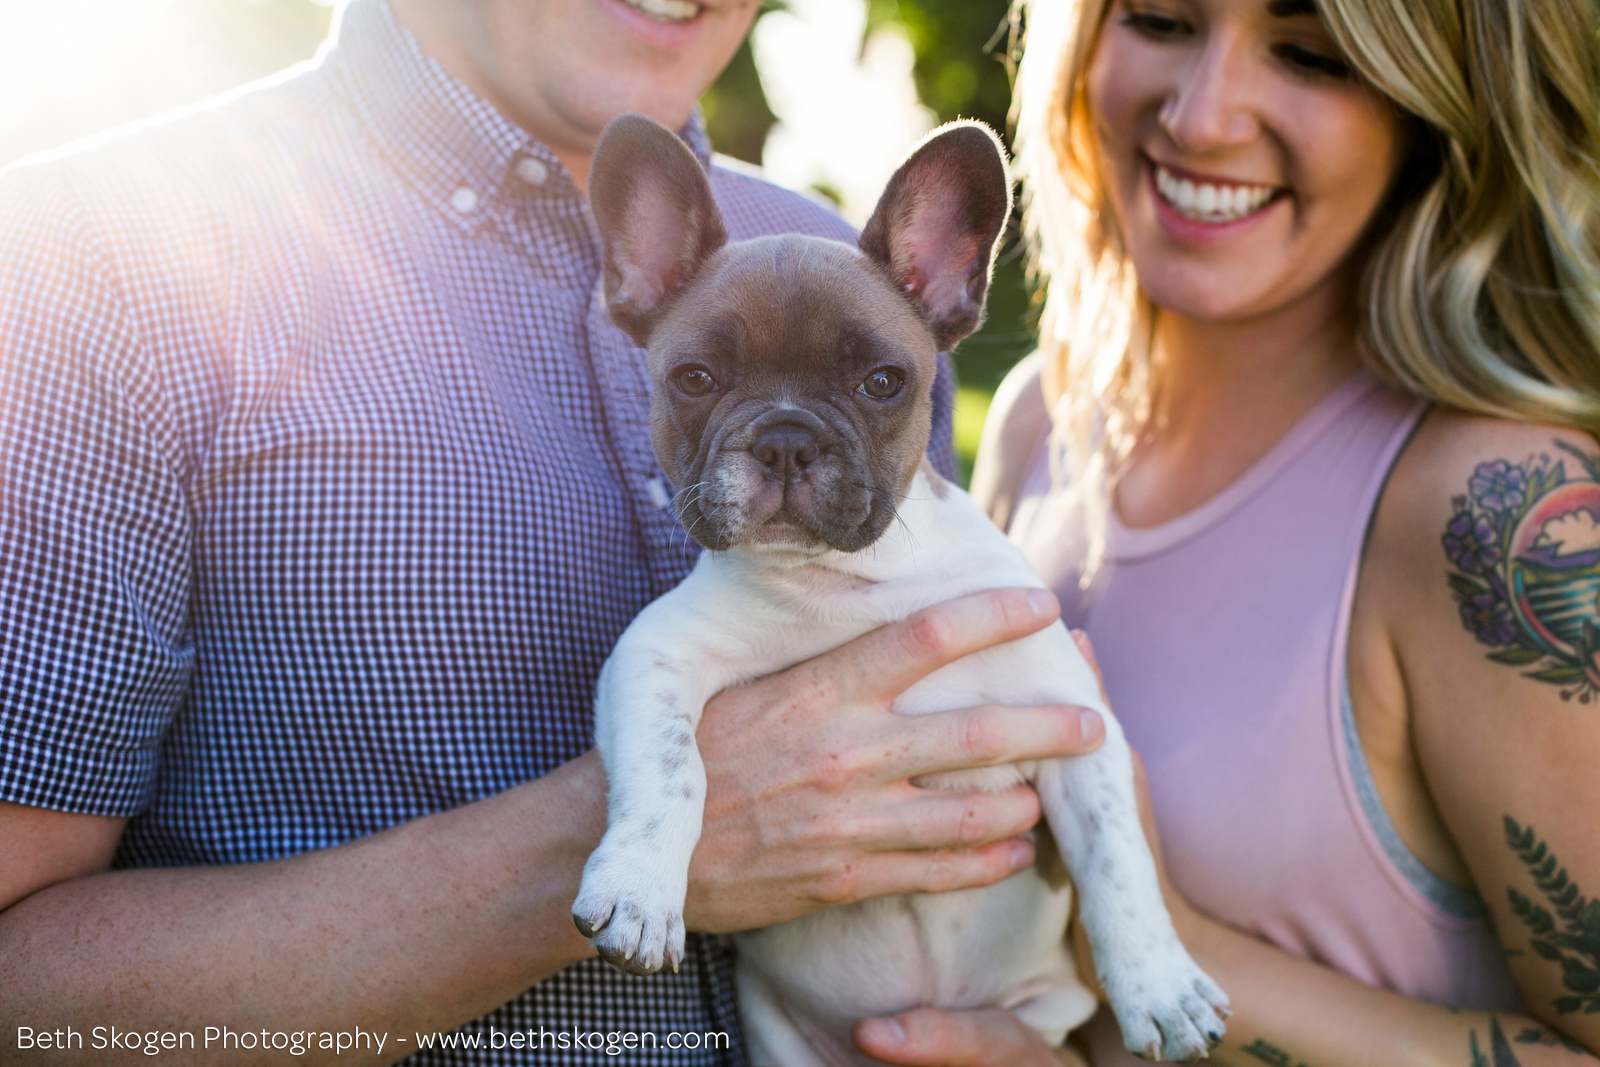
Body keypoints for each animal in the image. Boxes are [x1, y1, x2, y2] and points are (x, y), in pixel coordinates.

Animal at [579, 115, 1235, 1067]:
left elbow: (1120, 860)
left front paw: (1161, 986)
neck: (860, 580)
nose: (785, 439)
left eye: (883, 382)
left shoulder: (1076, 724)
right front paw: (637, 890)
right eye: (695, 378)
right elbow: (671, 771)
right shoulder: (656, 656)